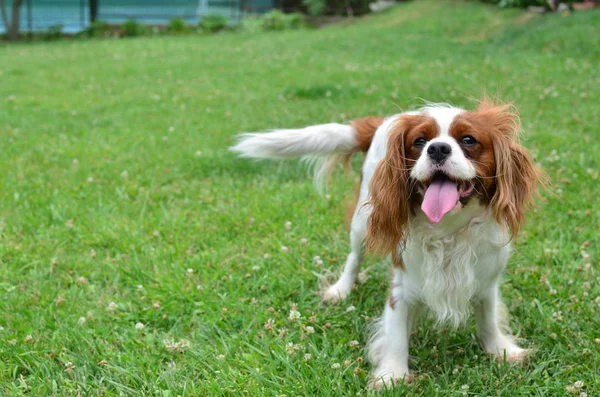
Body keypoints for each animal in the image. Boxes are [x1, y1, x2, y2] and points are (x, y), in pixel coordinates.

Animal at [232, 99, 548, 386]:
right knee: (354, 257)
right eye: (420, 141)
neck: (448, 231)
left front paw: (501, 350)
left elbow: (488, 317)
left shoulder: (487, 280)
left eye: (469, 140)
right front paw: (392, 374)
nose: (437, 148)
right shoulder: (403, 284)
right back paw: (340, 290)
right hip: (362, 222)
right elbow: (396, 331)